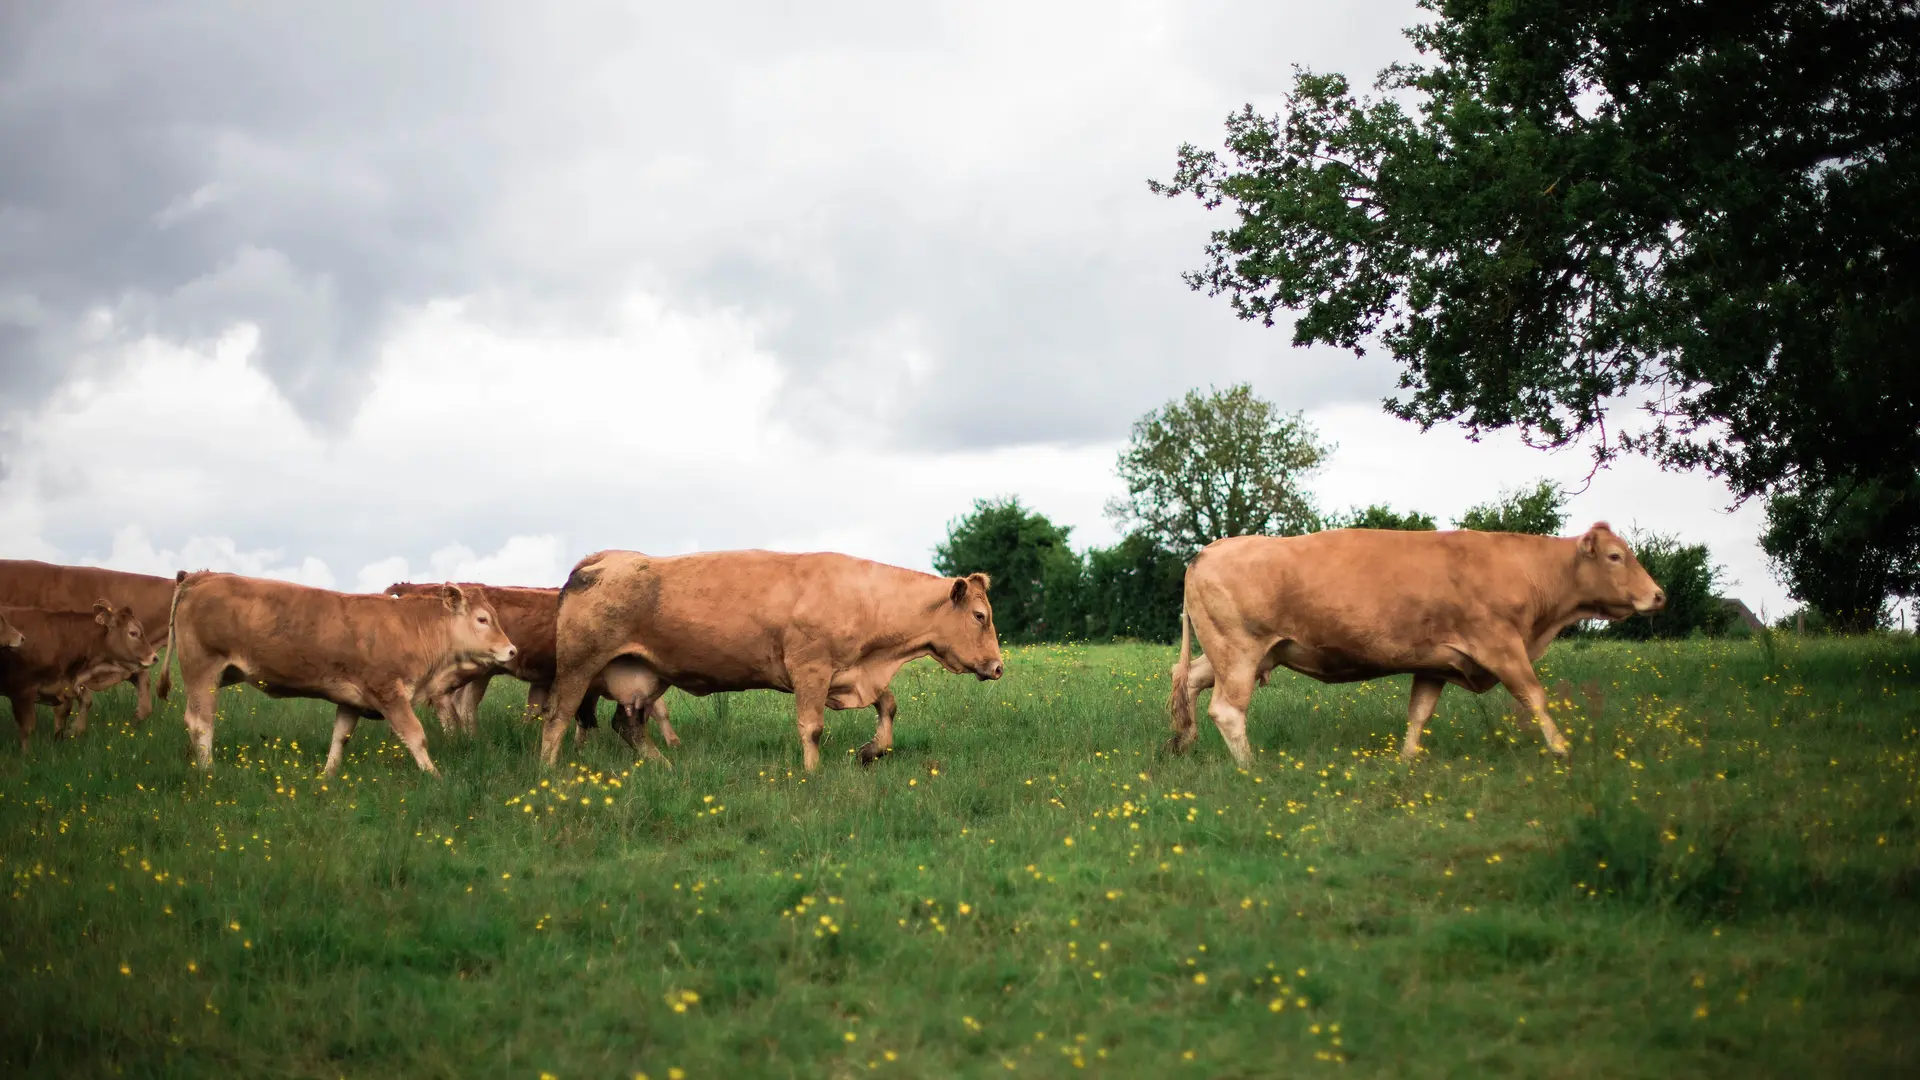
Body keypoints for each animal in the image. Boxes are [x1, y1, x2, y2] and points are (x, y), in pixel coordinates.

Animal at [0, 602, 160, 747]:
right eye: (133, 633)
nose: (155, 657)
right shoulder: (22, 690)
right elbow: (27, 730)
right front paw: (28, 756)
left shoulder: (64, 687)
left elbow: (75, 709)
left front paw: (68, 734)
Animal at [160, 572, 518, 775]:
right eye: (483, 619)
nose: (512, 650)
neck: (411, 629)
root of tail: (200, 579)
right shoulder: (389, 693)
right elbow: (416, 736)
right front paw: (435, 777)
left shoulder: (352, 700)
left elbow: (340, 737)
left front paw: (328, 776)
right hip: (202, 670)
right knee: (201, 723)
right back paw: (209, 771)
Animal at [541, 550, 1005, 770]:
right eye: (980, 616)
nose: (999, 666)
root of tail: (606, 559)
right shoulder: (811, 671)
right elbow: (812, 727)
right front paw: (813, 774)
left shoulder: (853, 674)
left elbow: (888, 704)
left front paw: (871, 751)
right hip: (579, 667)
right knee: (557, 718)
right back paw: (549, 774)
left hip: (644, 676)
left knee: (628, 725)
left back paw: (664, 766)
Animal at [1167, 523, 1666, 765]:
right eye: (1615, 556)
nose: (1659, 595)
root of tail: (1208, 551)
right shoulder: (1501, 645)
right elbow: (1535, 697)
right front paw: (1562, 749)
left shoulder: (1435, 662)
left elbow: (1419, 712)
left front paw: (1406, 760)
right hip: (1239, 650)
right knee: (1227, 710)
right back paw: (1250, 767)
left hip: (1238, 653)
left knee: (1186, 681)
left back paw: (1182, 742)